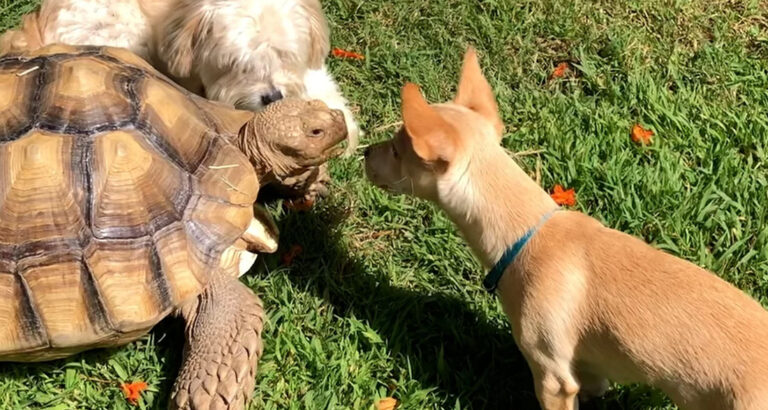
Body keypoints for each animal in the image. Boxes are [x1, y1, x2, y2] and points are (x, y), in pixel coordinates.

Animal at [364, 48, 768, 410]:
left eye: (397, 150)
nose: (365, 152)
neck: (525, 234)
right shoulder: (582, 370)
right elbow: (594, 384)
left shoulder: (551, 376)